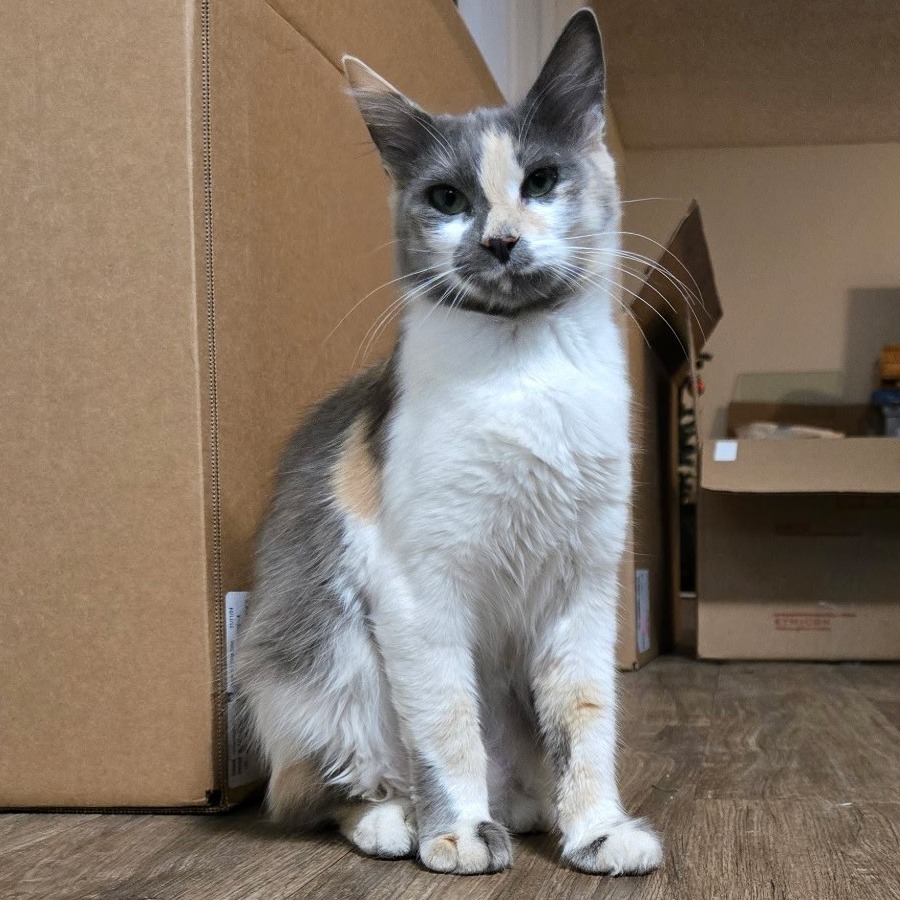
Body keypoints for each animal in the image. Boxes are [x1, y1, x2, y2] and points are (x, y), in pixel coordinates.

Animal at [236, 7, 664, 876]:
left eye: (541, 181)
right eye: (446, 198)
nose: (499, 240)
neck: (524, 366)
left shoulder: (584, 584)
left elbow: (585, 716)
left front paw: (597, 830)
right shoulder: (417, 583)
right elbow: (445, 722)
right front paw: (458, 833)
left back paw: (529, 809)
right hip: (326, 672)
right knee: (312, 792)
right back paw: (394, 819)